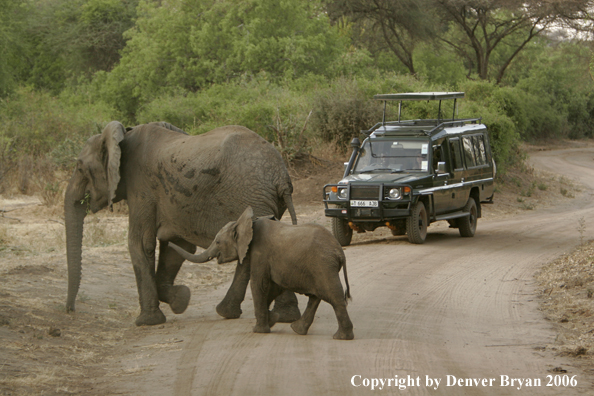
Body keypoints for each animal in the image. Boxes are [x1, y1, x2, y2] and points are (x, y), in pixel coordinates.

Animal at [63, 122, 300, 326]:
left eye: (80, 168)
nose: (70, 310)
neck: (122, 137)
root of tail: (281, 177)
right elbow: (177, 246)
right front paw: (181, 300)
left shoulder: (141, 187)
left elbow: (140, 243)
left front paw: (147, 322)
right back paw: (280, 316)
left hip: (250, 197)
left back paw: (236, 312)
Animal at [166, 206, 352, 338]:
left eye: (218, 242)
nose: (168, 242)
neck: (247, 222)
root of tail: (340, 252)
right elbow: (272, 287)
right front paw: (273, 319)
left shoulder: (260, 253)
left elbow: (259, 284)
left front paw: (259, 330)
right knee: (316, 297)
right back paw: (297, 330)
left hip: (323, 265)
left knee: (333, 297)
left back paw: (341, 337)